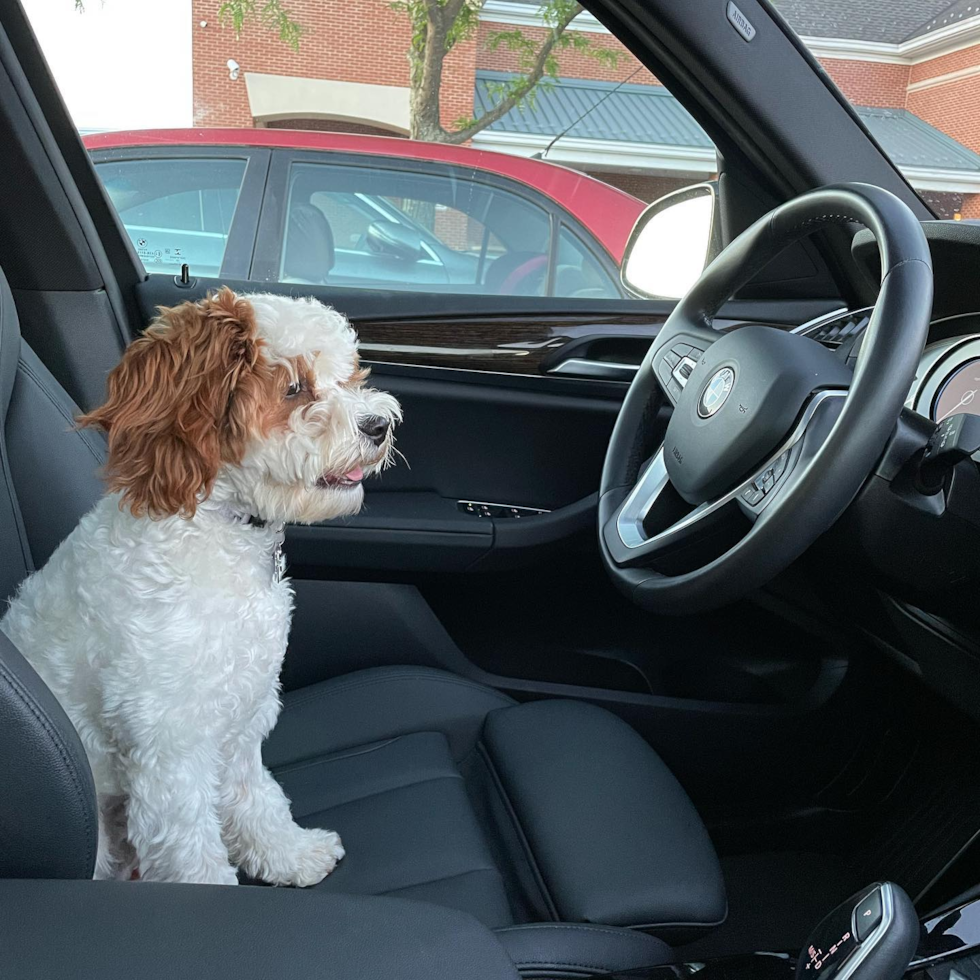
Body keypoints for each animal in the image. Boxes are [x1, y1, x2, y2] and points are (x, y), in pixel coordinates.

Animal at [0, 290, 398, 888]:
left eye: (349, 376)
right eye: (294, 387)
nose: (379, 424)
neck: (220, 524)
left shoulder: (240, 715)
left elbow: (256, 798)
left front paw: (290, 854)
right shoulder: (171, 745)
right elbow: (190, 849)